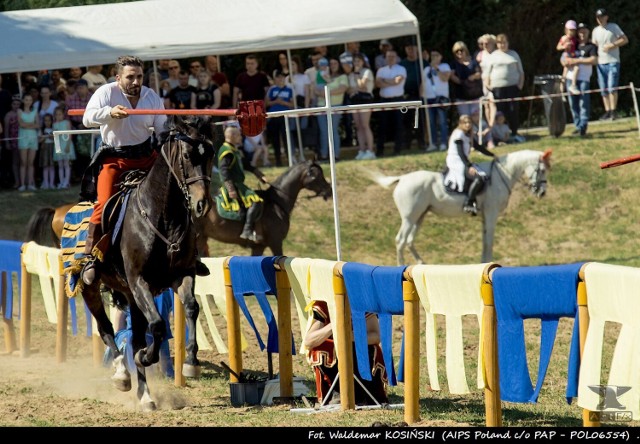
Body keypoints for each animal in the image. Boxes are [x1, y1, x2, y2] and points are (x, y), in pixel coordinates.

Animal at [368, 149, 552, 266]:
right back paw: (401, 266)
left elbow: (485, 240)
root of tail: (402, 178)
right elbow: (489, 241)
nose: (542, 192)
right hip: (409, 218)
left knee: (409, 241)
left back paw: (421, 263)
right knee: (400, 240)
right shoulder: (491, 214)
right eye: (542, 170)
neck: (502, 174)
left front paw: (483, 262)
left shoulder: (485, 216)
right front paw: (489, 262)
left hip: (419, 216)